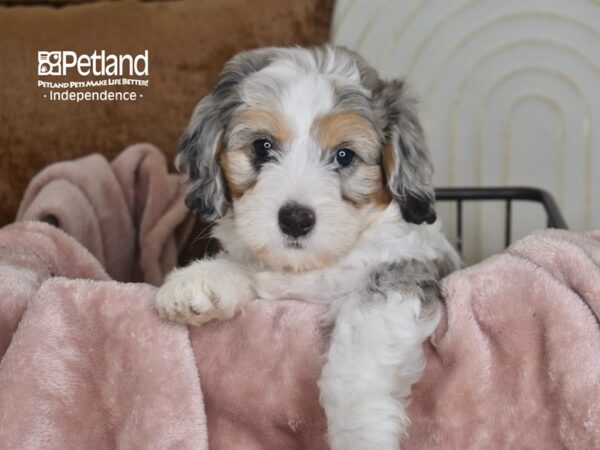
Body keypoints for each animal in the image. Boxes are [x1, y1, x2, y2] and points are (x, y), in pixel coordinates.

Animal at [155, 45, 460, 450]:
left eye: (344, 155)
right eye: (262, 147)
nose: (296, 219)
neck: (312, 267)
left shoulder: (408, 271)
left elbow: (357, 356)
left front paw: (361, 431)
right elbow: (245, 264)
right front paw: (200, 280)